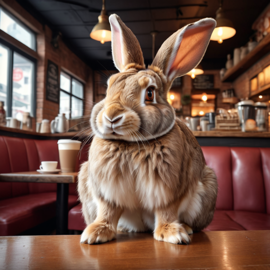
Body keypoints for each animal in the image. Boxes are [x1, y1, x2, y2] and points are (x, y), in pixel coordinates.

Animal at [78, 13, 217, 246]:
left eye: (150, 93)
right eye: (109, 87)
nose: (112, 116)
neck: (132, 144)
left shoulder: (168, 191)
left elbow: (166, 210)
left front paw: (172, 234)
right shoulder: (107, 192)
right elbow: (108, 210)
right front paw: (96, 234)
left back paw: (185, 229)